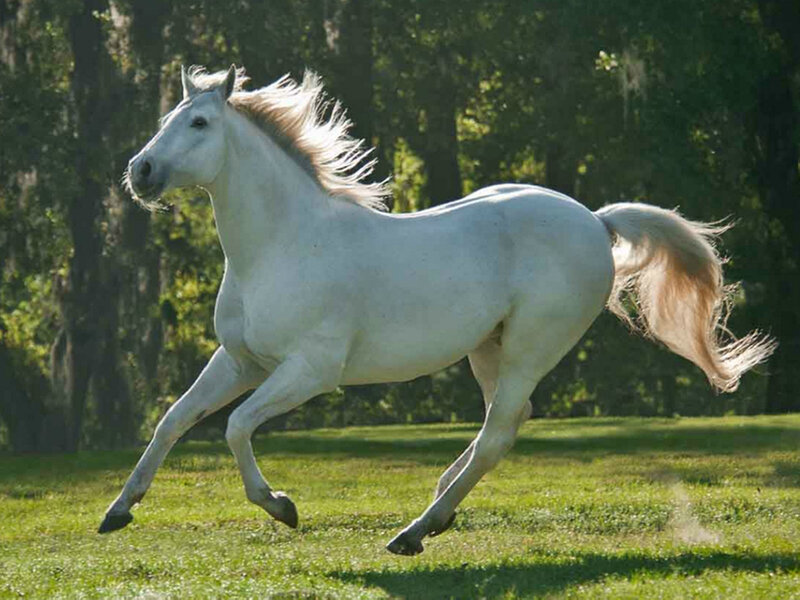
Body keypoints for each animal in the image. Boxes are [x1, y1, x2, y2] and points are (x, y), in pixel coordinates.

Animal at [100, 64, 775, 555]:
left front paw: (282, 507)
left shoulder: (307, 372)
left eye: (199, 122)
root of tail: (594, 219)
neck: (279, 245)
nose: (140, 171)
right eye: (167, 119)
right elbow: (172, 421)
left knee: (497, 433)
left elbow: (235, 427)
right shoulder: (241, 362)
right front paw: (117, 511)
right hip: (488, 349)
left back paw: (414, 531)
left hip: (529, 349)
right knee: (504, 425)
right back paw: (439, 506)